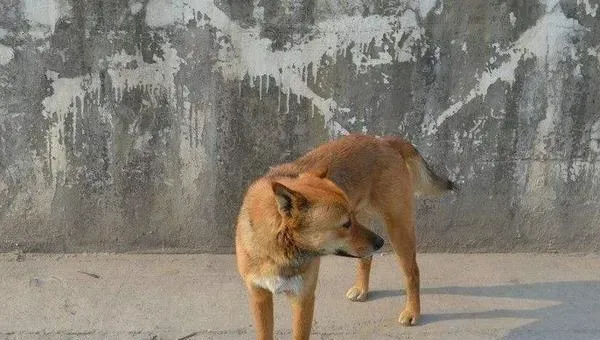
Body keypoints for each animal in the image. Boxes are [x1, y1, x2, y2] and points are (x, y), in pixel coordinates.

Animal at [237, 133, 452, 340]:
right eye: (346, 224)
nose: (380, 243)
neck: (278, 249)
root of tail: (385, 141)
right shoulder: (259, 297)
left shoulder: (303, 299)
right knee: (367, 258)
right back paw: (362, 288)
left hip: (398, 228)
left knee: (412, 272)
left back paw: (412, 311)